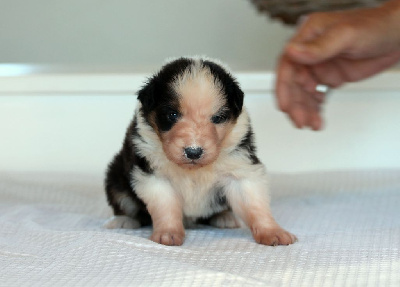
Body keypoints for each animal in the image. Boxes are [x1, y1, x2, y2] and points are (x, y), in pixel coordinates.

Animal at [104, 56, 298, 248]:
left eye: (218, 118)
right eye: (172, 115)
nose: (193, 152)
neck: (194, 170)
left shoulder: (240, 167)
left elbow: (255, 205)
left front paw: (272, 232)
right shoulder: (153, 175)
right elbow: (166, 206)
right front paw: (168, 233)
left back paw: (225, 217)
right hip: (116, 175)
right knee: (124, 201)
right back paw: (123, 220)